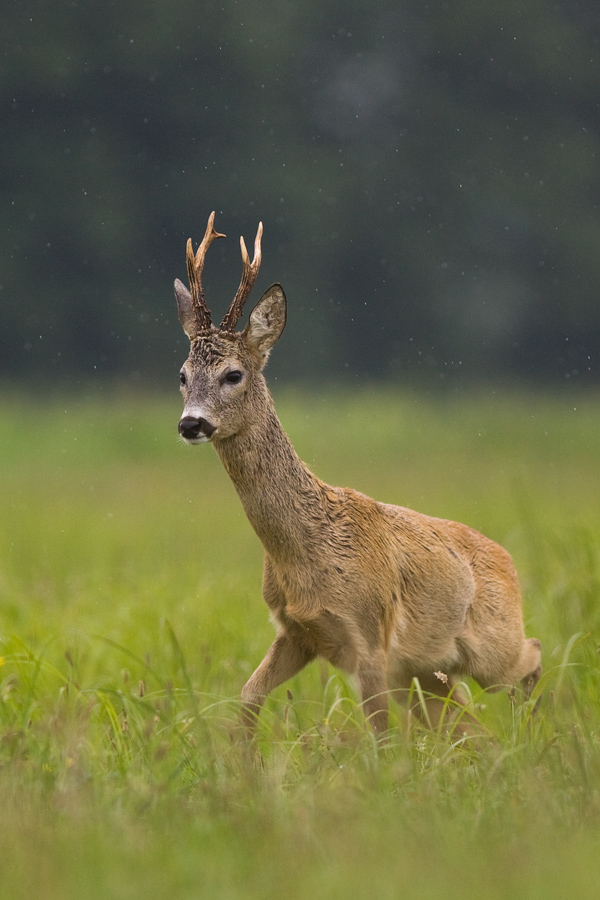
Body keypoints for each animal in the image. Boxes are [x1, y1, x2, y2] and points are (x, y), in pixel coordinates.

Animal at [171, 214, 540, 736]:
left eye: (233, 374)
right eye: (182, 375)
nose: (192, 424)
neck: (306, 548)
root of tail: (507, 561)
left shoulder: (369, 636)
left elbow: (381, 736)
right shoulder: (297, 632)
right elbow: (246, 701)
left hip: (490, 645)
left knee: (531, 658)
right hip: (427, 672)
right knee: (466, 722)